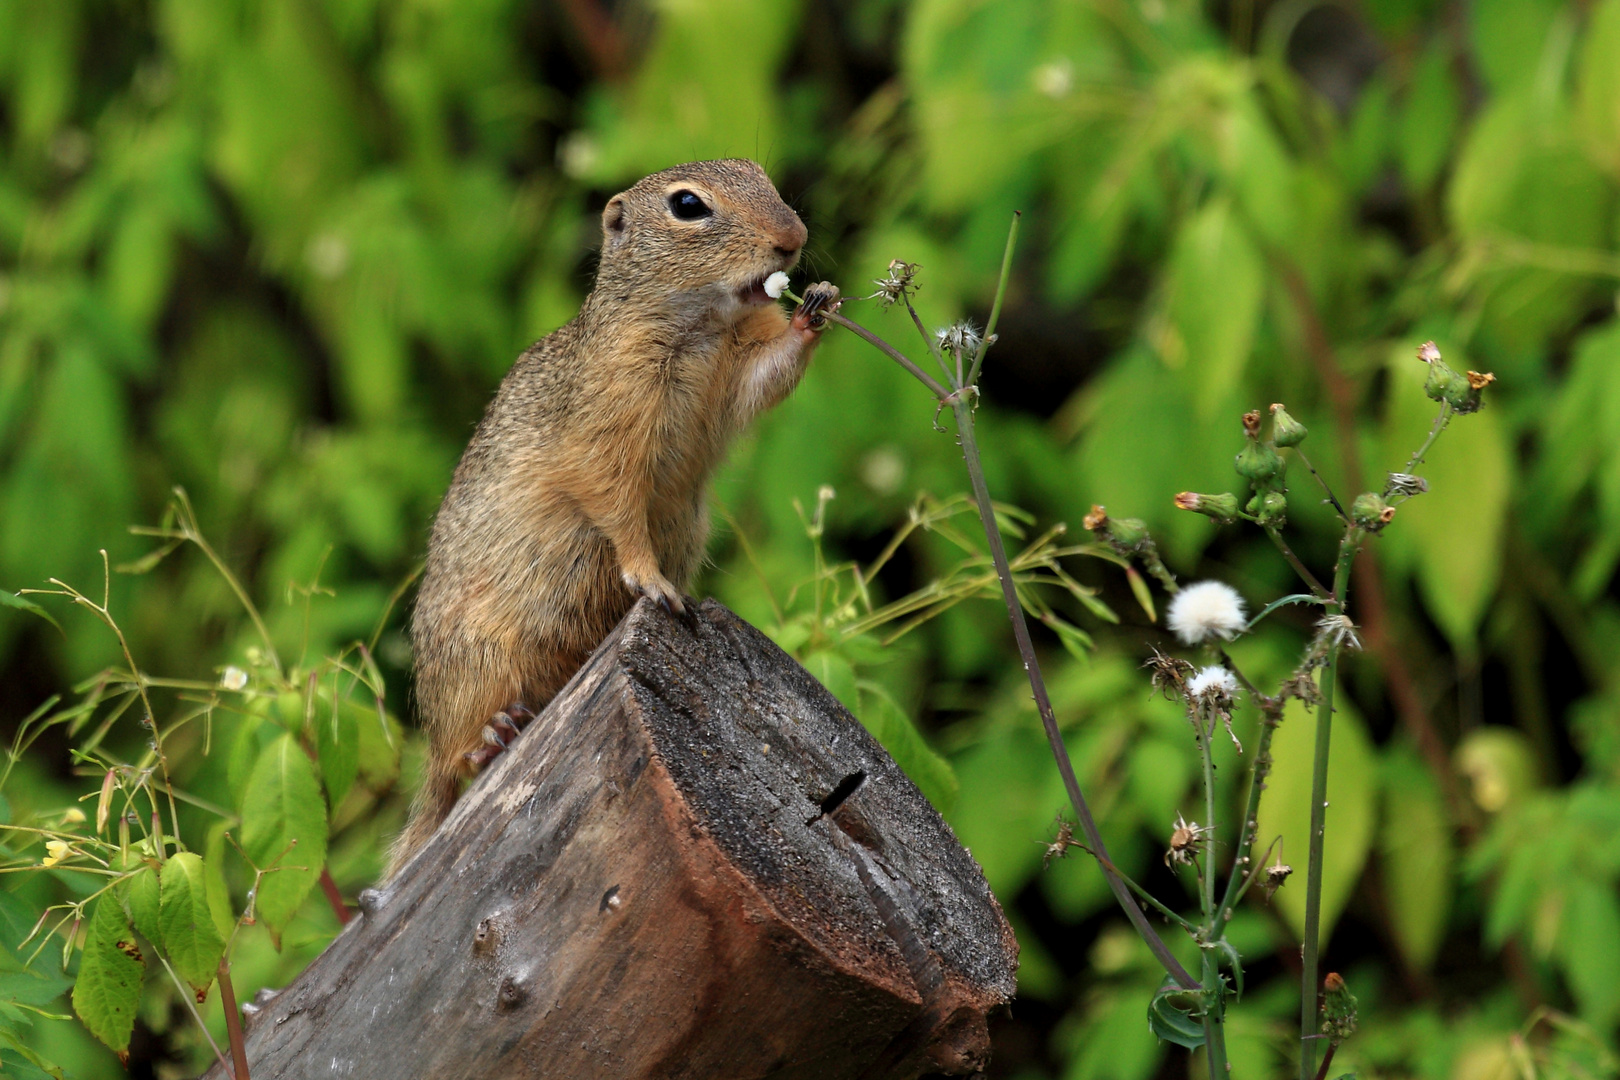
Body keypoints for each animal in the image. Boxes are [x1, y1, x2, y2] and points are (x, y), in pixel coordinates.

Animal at [387, 158, 842, 880]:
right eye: (688, 206)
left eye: (759, 172)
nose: (793, 238)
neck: (698, 328)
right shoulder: (605, 434)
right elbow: (619, 510)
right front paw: (650, 579)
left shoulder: (734, 372)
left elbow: (767, 377)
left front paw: (817, 305)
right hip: (483, 662)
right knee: (455, 760)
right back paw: (493, 737)